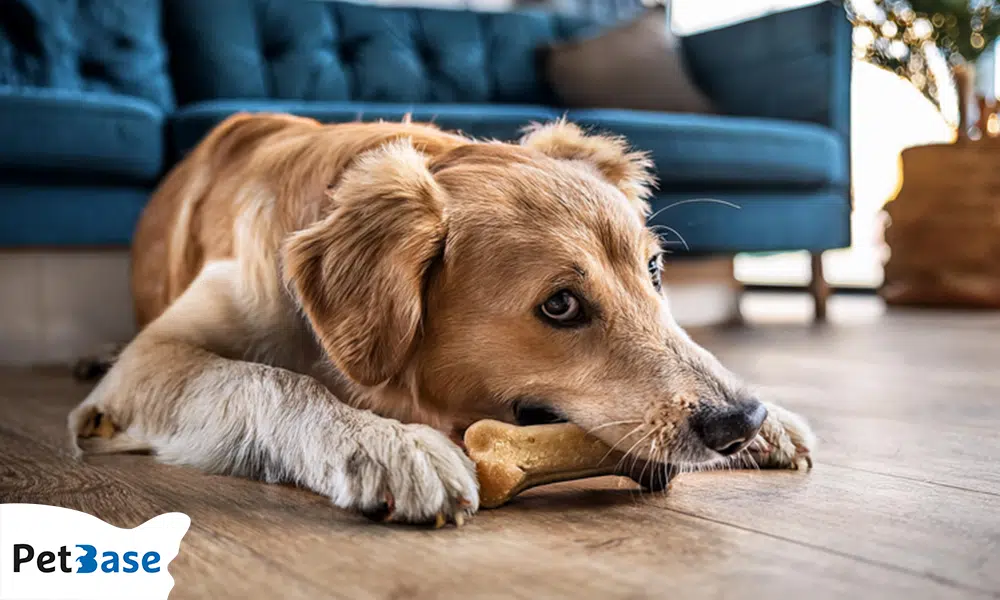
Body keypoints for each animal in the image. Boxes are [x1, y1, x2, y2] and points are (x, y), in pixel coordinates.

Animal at [70, 113, 816, 524]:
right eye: (560, 304)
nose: (740, 420)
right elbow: (271, 379)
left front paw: (775, 422)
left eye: (655, 270)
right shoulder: (156, 358)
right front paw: (384, 444)